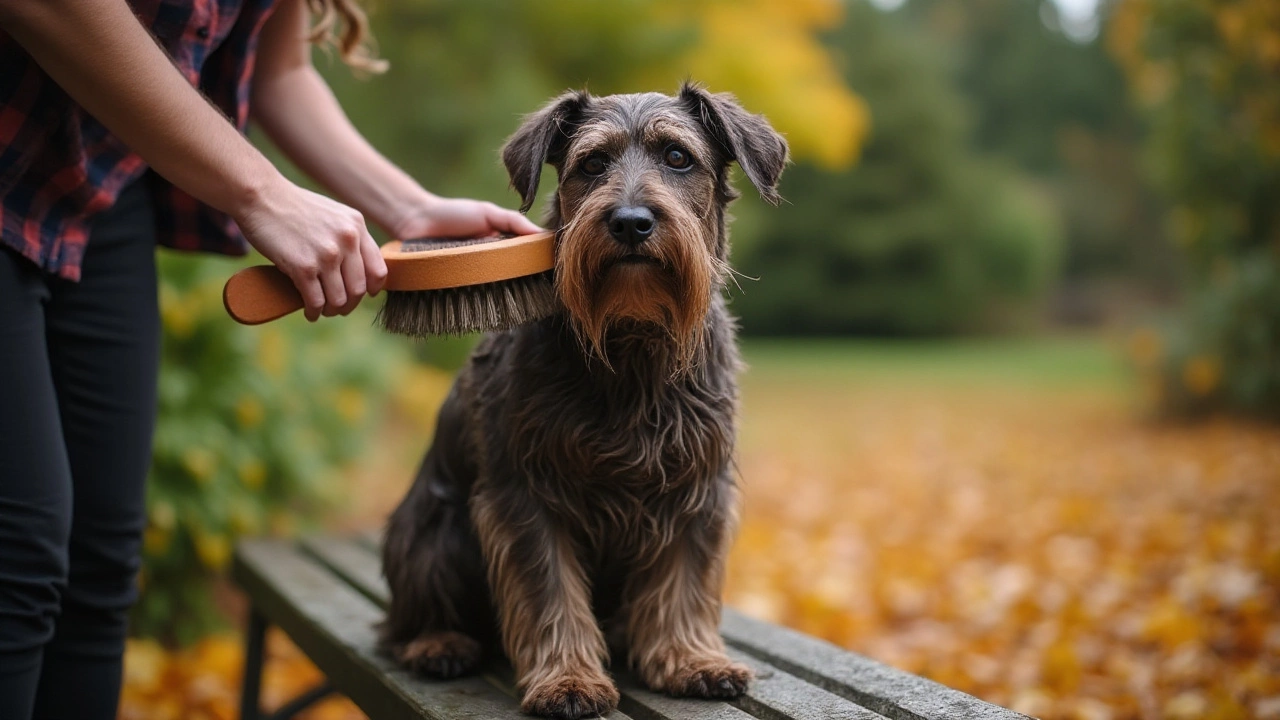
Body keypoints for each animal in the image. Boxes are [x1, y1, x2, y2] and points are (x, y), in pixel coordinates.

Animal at [376, 81, 788, 712]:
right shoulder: (527, 495)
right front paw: (568, 677)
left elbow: (683, 581)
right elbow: (550, 593)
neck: (632, 341)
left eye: (677, 157)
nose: (631, 222)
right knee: (400, 624)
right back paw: (437, 643)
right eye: (592, 164)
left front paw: (690, 657)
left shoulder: (697, 488)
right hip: (432, 532)